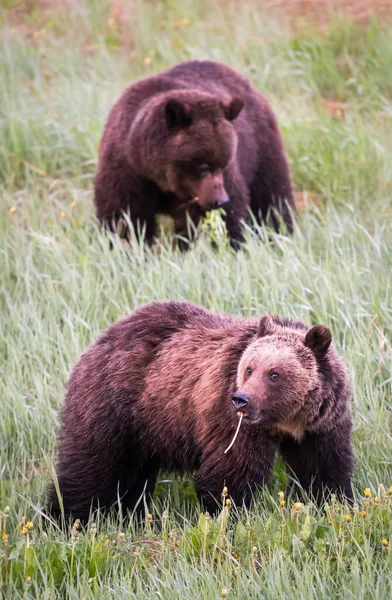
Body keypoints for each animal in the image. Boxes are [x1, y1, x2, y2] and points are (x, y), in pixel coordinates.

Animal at [47, 300, 354, 520]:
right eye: (249, 368)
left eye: (274, 374)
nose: (241, 399)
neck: (286, 421)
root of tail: (104, 336)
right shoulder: (229, 419)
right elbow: (229, 473)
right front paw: (230, 515)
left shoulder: (320, 425)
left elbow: (325, 467)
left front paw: (337, 503)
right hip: (115, 405)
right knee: (92, 467)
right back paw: (64, 519)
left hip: (148, 425)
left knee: (134, 476)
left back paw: (131, 514)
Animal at [93, 61, 294, 248]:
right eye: (204, 166)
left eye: (223, 164)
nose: (220, 199)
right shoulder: (127, 170)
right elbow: (125, 218)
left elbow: (227, 217)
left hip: (260, 147)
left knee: (272, 196)